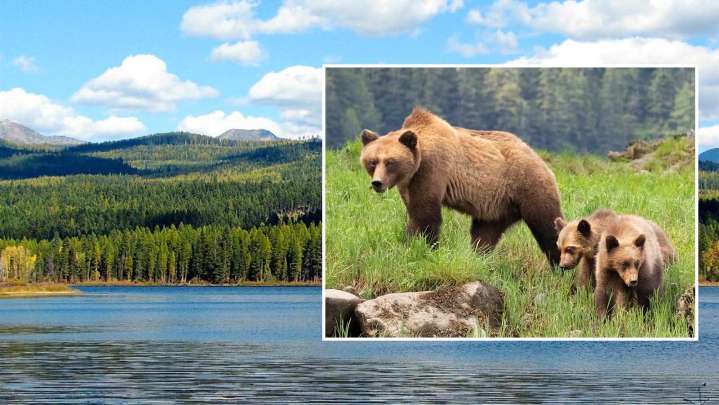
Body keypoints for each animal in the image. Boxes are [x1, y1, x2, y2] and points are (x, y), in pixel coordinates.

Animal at [359, 107, 564, 267]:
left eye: (390, 162)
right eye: (372, 161)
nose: (377, 183)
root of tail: (540, 160)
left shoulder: (433, 170)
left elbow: (426, 215)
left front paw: (423, 247)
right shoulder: (409, 184)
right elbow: (414, 213)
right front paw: (409, 245)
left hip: (528, 186)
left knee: (548, 226)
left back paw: (559, 266)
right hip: (497, 206)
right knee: (485, 234)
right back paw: (479, 258)